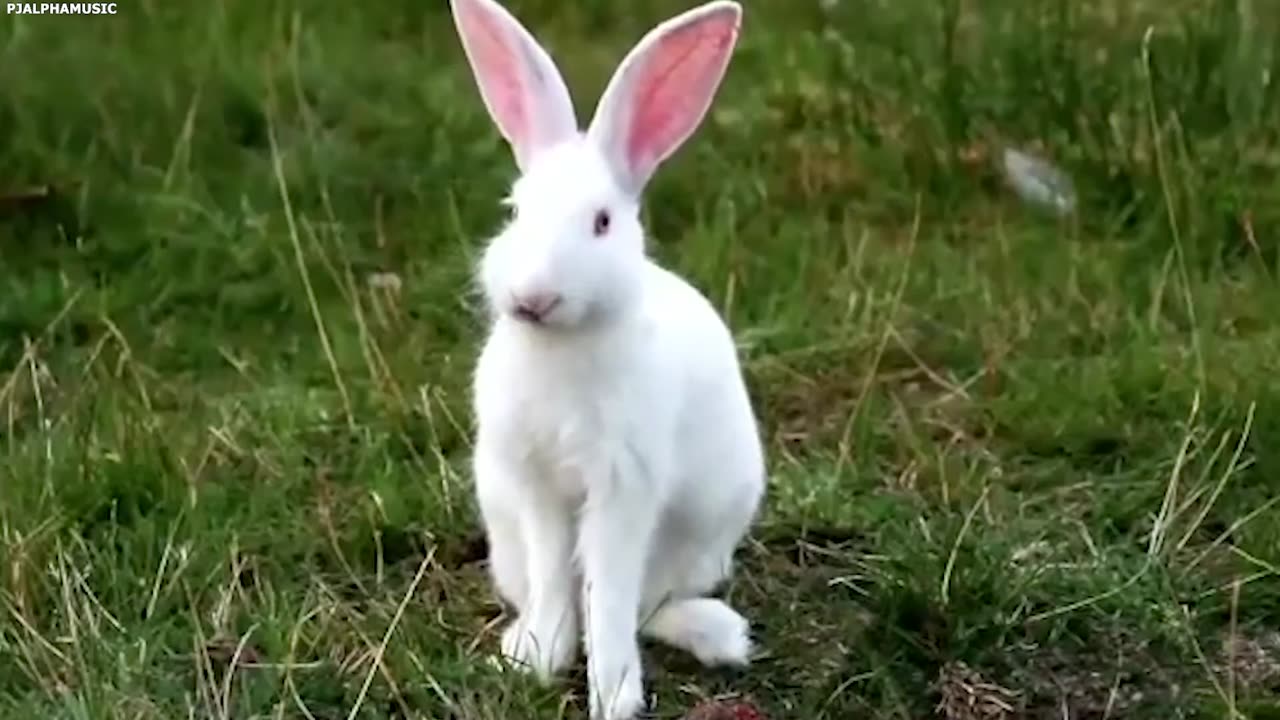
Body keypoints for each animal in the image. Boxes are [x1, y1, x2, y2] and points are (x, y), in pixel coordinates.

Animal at [448, 0, 765, 717]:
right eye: (514, 211)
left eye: (601, 222)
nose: (534, 296)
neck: (560, 345)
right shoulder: (535, 485)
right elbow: (554, 575)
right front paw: (538, 659)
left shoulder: (623, 486)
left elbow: (610, 592)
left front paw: (615, 694)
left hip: (698, 540)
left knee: (650, 605)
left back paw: (720, 635)